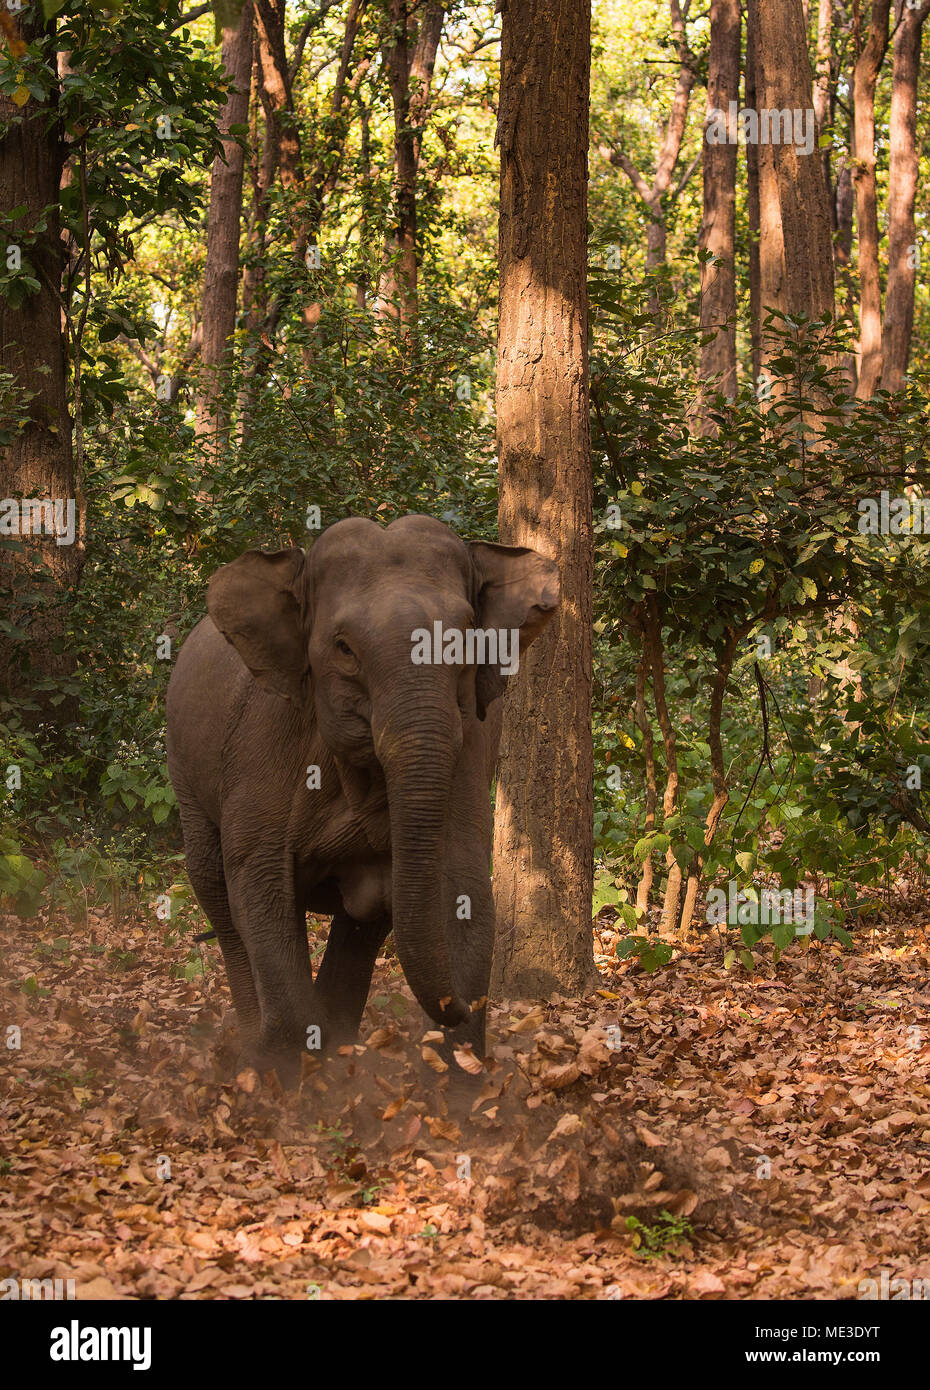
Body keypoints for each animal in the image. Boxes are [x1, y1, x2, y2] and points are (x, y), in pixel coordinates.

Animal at [164, 514, 558, 1084]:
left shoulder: (473, 745)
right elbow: (258, 883)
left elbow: (462, 885)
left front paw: (457, 1090)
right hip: (185, 771)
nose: (460, 1005)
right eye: (344, 647)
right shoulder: (264, 739)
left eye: (466, 637)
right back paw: (256, 1047)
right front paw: (287, 1078)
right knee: (216, 889)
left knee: (362, 923)